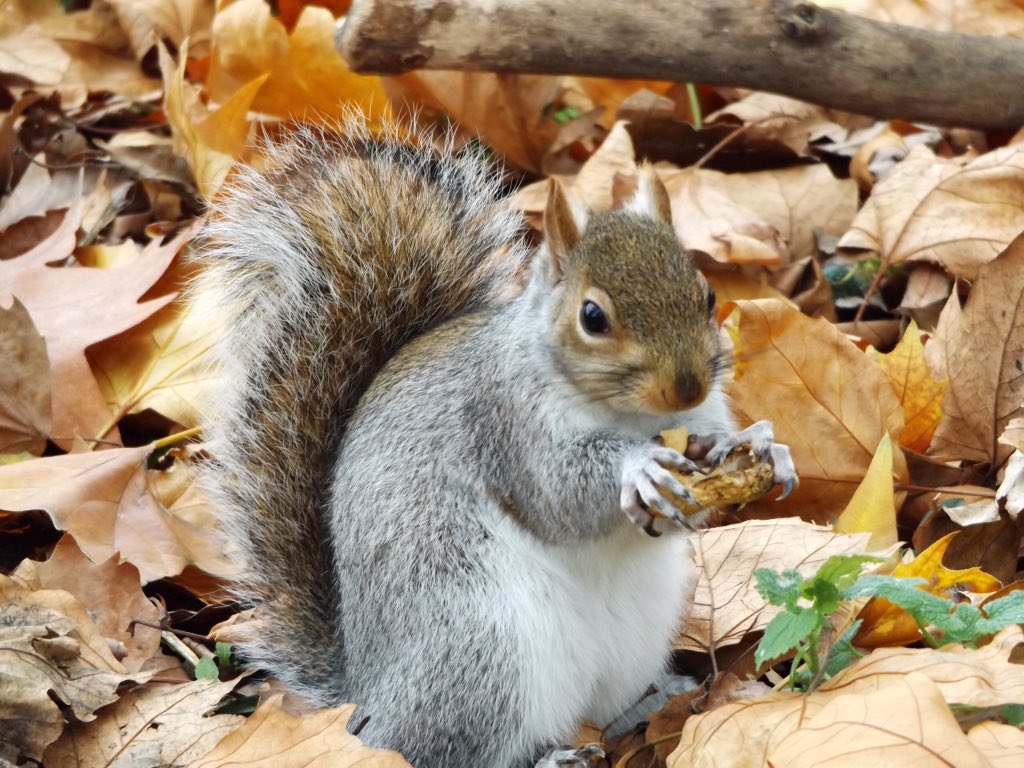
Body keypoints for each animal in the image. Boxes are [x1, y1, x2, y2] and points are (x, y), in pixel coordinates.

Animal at [194, 118, 796, 767]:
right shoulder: (506, 422)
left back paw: (656, 702)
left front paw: (759, 444)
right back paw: (551, 756)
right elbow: (558, 499)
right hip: (480, 650)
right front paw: (640, 470)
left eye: (706, 295)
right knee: (451, 751)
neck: (633, 416)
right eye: (592, 317)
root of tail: (365, 699)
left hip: (629, 642)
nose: (686, 385)